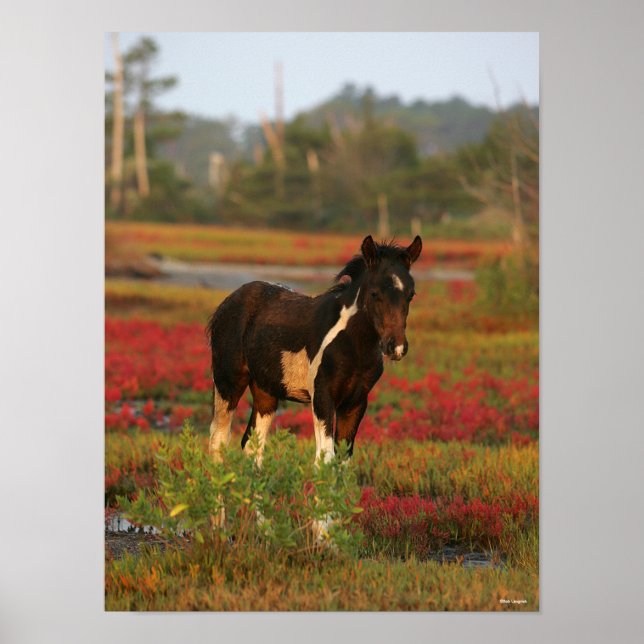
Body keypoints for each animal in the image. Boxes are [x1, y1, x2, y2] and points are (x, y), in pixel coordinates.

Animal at [206, 234, 422, 467]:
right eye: (374, 293)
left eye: (411, 295)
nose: (396, 347)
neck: (353, 345)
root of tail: (226, 303)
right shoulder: (322, 397)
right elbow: (325, 459)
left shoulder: (355, 403)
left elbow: (343, 460)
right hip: (228, 382)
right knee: (218, 439)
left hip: (266, 390)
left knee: (252, 443)